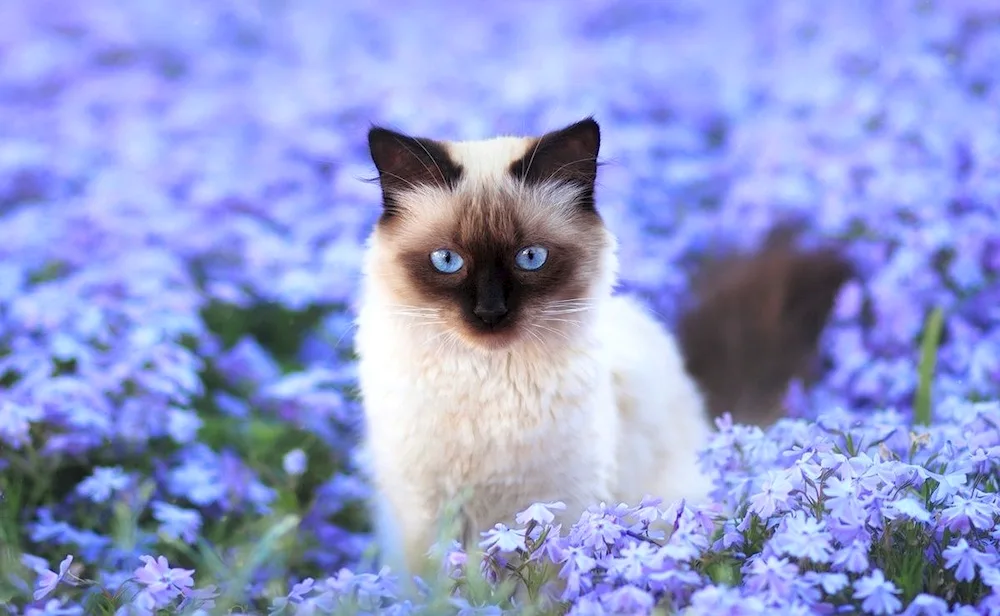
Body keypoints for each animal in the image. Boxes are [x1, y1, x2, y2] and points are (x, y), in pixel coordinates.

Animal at [354, 118, 852, 580]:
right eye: (447, 261)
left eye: (530, 258)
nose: (490, 313)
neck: (487, 380)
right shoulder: (426, 517)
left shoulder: (554, 506)